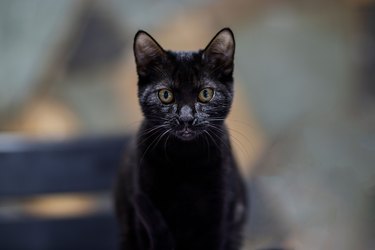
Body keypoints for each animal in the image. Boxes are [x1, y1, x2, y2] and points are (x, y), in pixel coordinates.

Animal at [116, 27, 248, 250]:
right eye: (165, 95)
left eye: (206, 94)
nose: (186, 118)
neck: (185, 160)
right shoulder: (142, 204)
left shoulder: (217, 213)